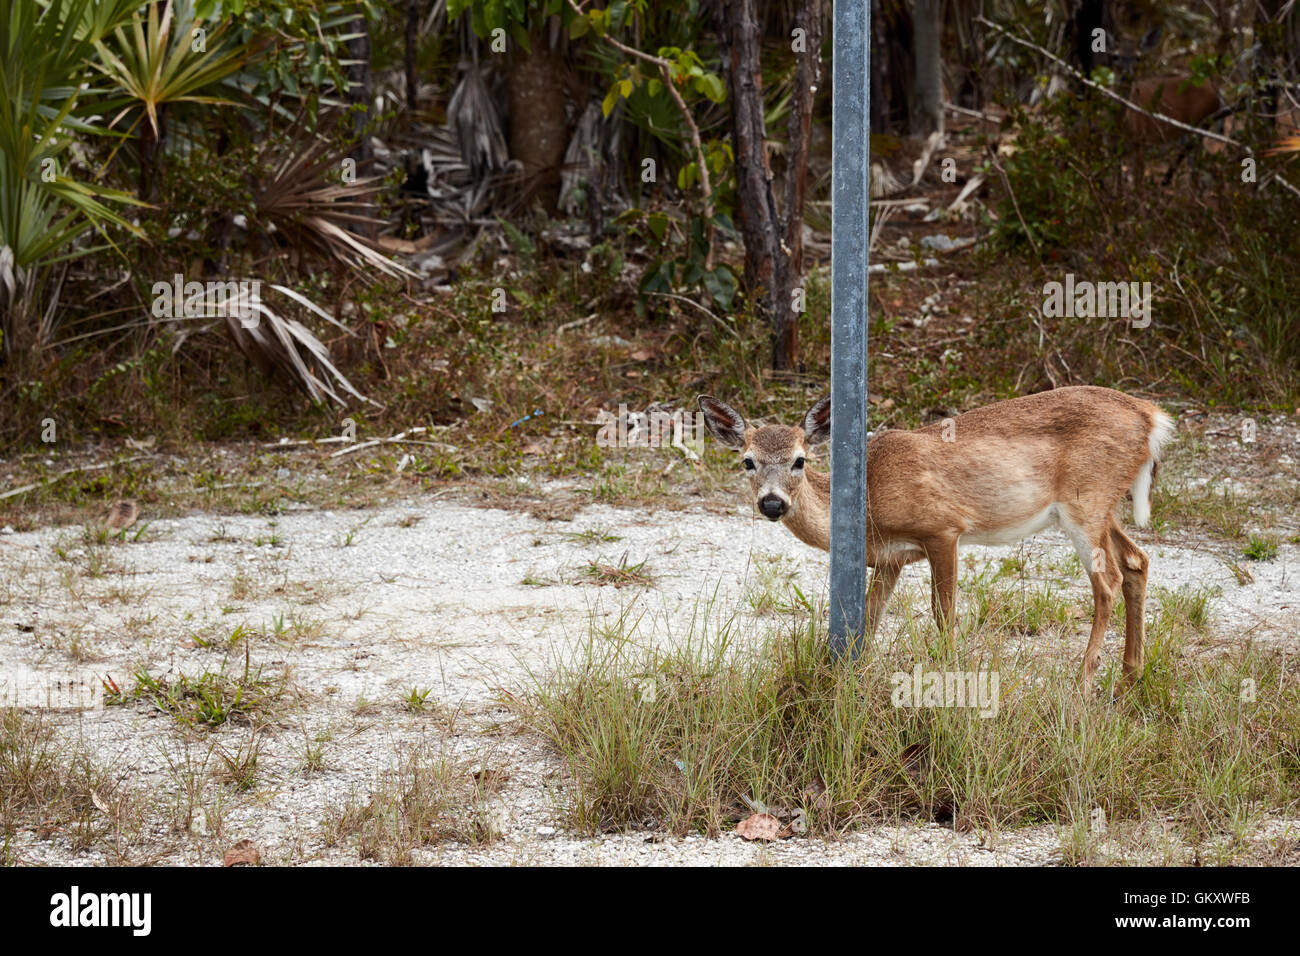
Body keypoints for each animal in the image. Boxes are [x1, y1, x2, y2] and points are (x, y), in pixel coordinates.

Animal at [702, 387, 1180, 697]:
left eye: (800, 460)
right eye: (748, 461)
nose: (772, 503)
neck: (869, 501)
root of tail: (1151, 416)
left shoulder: (943, 528)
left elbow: (943, 614)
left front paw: (951, 681)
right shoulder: (890, 559)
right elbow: (868, 621)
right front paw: (847, 682)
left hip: (1087, 498)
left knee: (1107, 582)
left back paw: (1082, 683)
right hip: (1101, 506)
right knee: (1137, 561)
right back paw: (1130, 677)